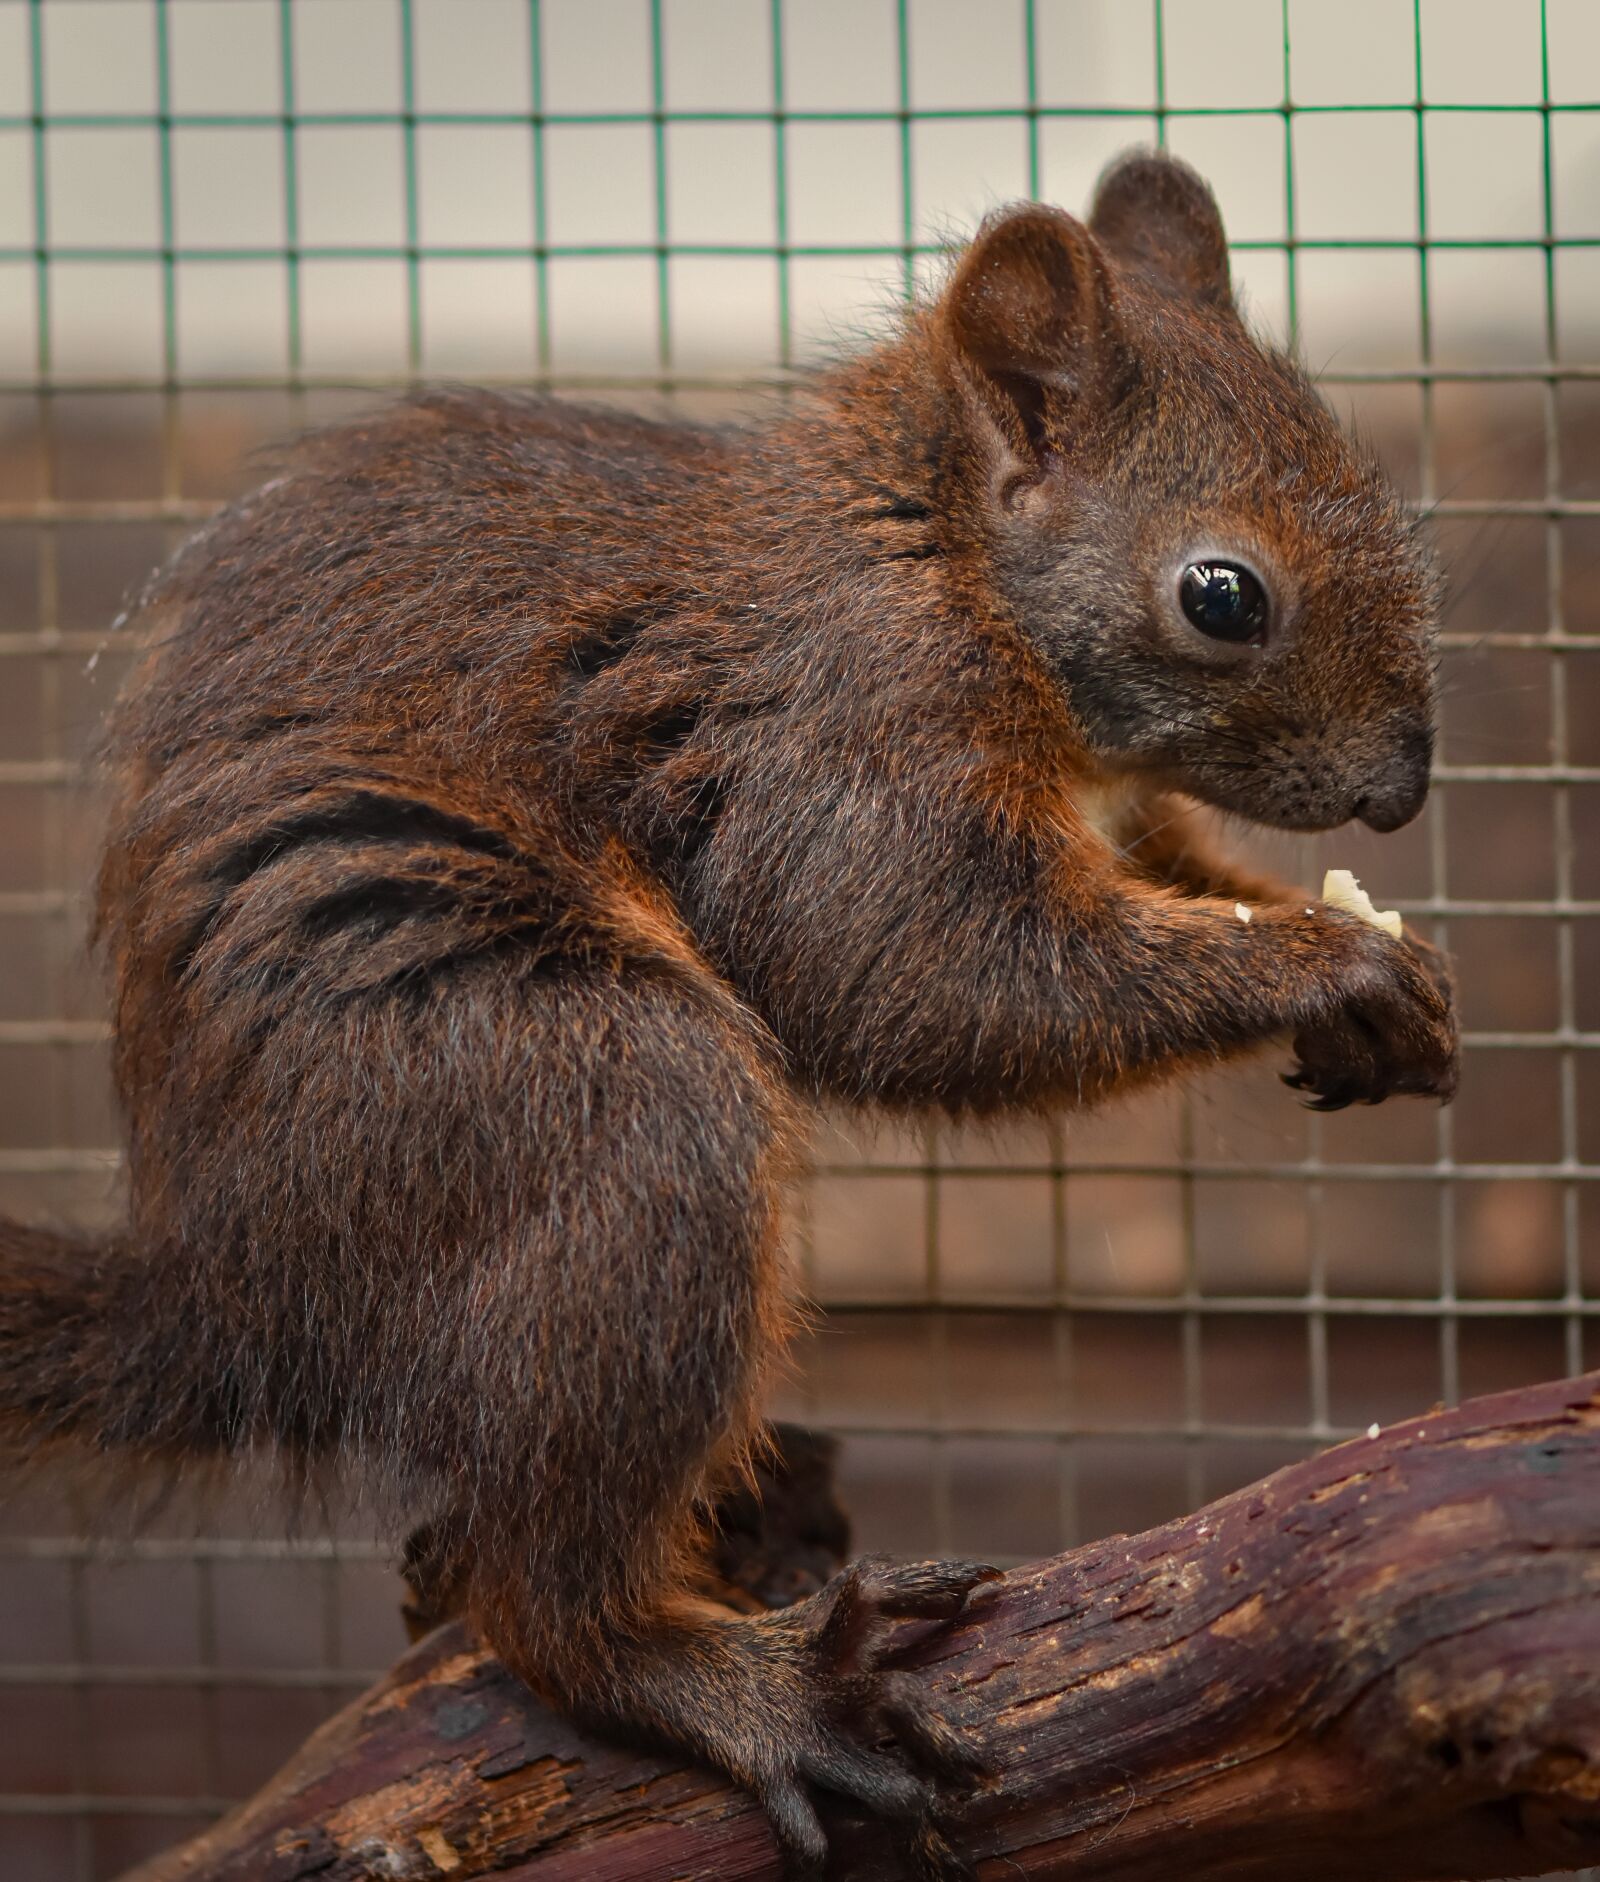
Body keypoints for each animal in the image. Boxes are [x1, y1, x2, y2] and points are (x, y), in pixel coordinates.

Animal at [0, 152, 1457, 1875]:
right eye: (1223, 595)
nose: (1403, 784)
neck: (941, 553)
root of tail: (234, 1286)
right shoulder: (845, 731)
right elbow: (923, 976)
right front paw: (1324, 960)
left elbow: (1142, 885)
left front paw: (1359, 966)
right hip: (598, 1103)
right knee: (536, 1595)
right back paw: (741, 1681)